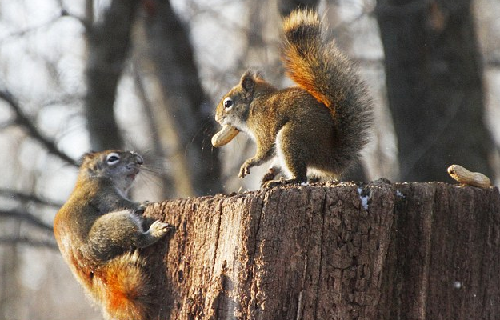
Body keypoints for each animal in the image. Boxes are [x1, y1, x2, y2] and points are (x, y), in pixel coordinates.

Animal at [53, 150, 170, 320]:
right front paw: (144, 203)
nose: (139, 160)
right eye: (113, 158)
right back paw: (155, 232)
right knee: (137, 239)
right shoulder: (103, 194)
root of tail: (91, 265)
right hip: (115, 224)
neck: (91, 178)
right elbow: (124, 204)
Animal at [210, 10, 372, 186]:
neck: (253, 104)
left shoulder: (264, 126)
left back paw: (284, 181)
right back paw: (271, 175)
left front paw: (249, 162)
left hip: (291, 137)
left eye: (228, 103)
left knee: (300, 176)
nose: (217, 118)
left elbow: (264, 151)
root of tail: (329, 158)